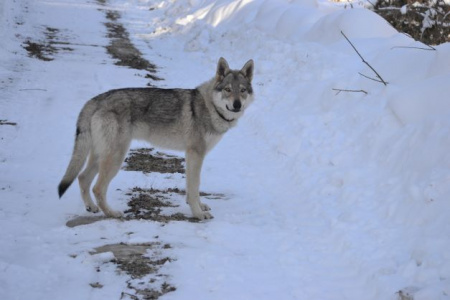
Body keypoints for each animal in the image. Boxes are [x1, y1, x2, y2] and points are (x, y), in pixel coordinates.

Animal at [57, 57, 253, 219]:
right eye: (228, 90)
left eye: (242, 90)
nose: (237, 105)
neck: (210, 107)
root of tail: (95, 100)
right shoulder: (196, 154)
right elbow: (195, 185)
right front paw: (198, 214)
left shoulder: (192, 155)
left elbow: (192, 187)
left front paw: (199, 205)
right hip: (116, 157)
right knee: (97, 188)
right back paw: (112, 213)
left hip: (102, 156)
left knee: (82, 178)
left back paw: (91, 208)